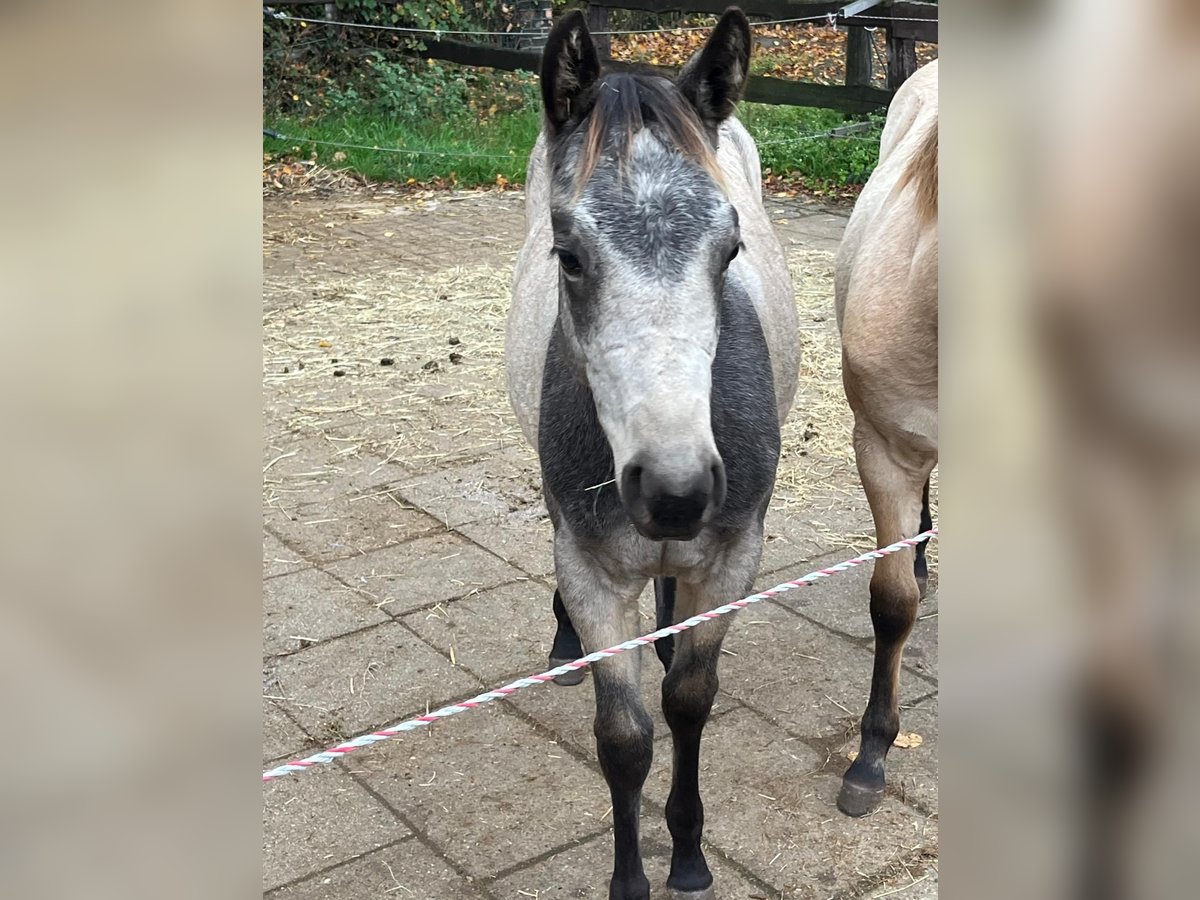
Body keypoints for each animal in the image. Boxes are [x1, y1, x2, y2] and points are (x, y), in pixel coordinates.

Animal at [504, 8, 796, 900]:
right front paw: (632, 877)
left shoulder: (732, 557)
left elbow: (689, 700)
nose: (675, 491)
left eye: (730, 250)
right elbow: (625, 736)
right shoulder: (594, 572)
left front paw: (691, 853)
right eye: (568, 254)